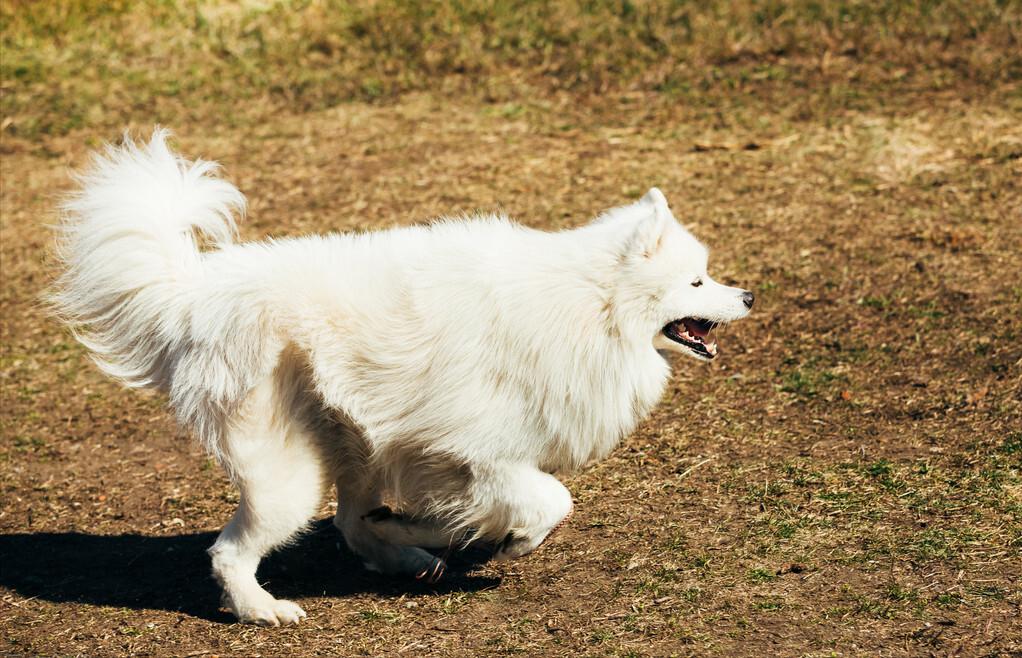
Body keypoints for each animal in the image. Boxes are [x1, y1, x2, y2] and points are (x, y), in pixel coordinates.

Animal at [51, 129, 756, 625]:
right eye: (697, 282)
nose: (748, 296)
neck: (588, 305)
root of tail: (194, 295)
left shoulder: (441, 459)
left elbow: (473, 512)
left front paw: (448, 535)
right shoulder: (474, 451)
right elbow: (553, 502)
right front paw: (510, 543)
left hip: (355, 447)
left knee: (350, 521)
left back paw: (405, 556)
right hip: (288, 476)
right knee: (236, 550)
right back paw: (263, 610)